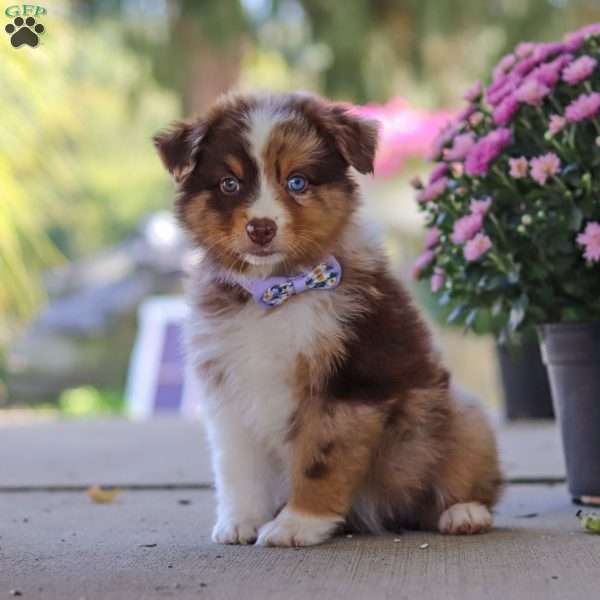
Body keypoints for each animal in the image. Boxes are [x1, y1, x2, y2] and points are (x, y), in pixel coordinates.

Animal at [155, 91, 502, 548]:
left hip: (459, 417)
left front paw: (297, 524)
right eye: (229, 184)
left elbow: (320, 460)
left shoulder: (348, 384)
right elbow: (236, 464)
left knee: (467, 476)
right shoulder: (229, 388)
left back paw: (463, 513)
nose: (261, 228)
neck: (276, 291)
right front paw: (241, 521)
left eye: (297, 182)